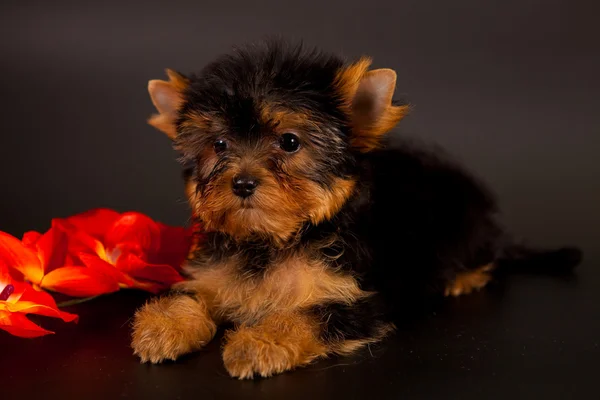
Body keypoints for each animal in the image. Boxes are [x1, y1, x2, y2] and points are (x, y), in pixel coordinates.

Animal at [130, 39, 580, 378]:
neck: (275, 239)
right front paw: (164, 325)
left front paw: (259, 340)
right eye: (219, 145)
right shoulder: (215, 271)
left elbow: (311, 315)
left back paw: (462, 277)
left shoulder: (357, 298)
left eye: (289, 142)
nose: (242, 183)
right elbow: (193, 292)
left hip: (463, 226)